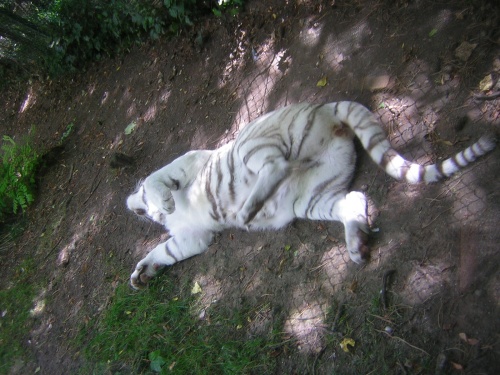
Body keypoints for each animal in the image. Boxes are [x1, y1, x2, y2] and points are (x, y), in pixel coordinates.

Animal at [126, 101, 496, 290]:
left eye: (142, 201)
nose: (141, 211)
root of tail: (327, 107)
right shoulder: (195, 236)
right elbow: (166, 250)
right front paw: (141, 274)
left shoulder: (188, 163)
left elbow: (157, 177)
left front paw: (161, 199)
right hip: (311, 198)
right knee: (354, 199)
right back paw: (357, 245)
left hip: (250, 145)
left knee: (274, 166)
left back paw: (247, 210)